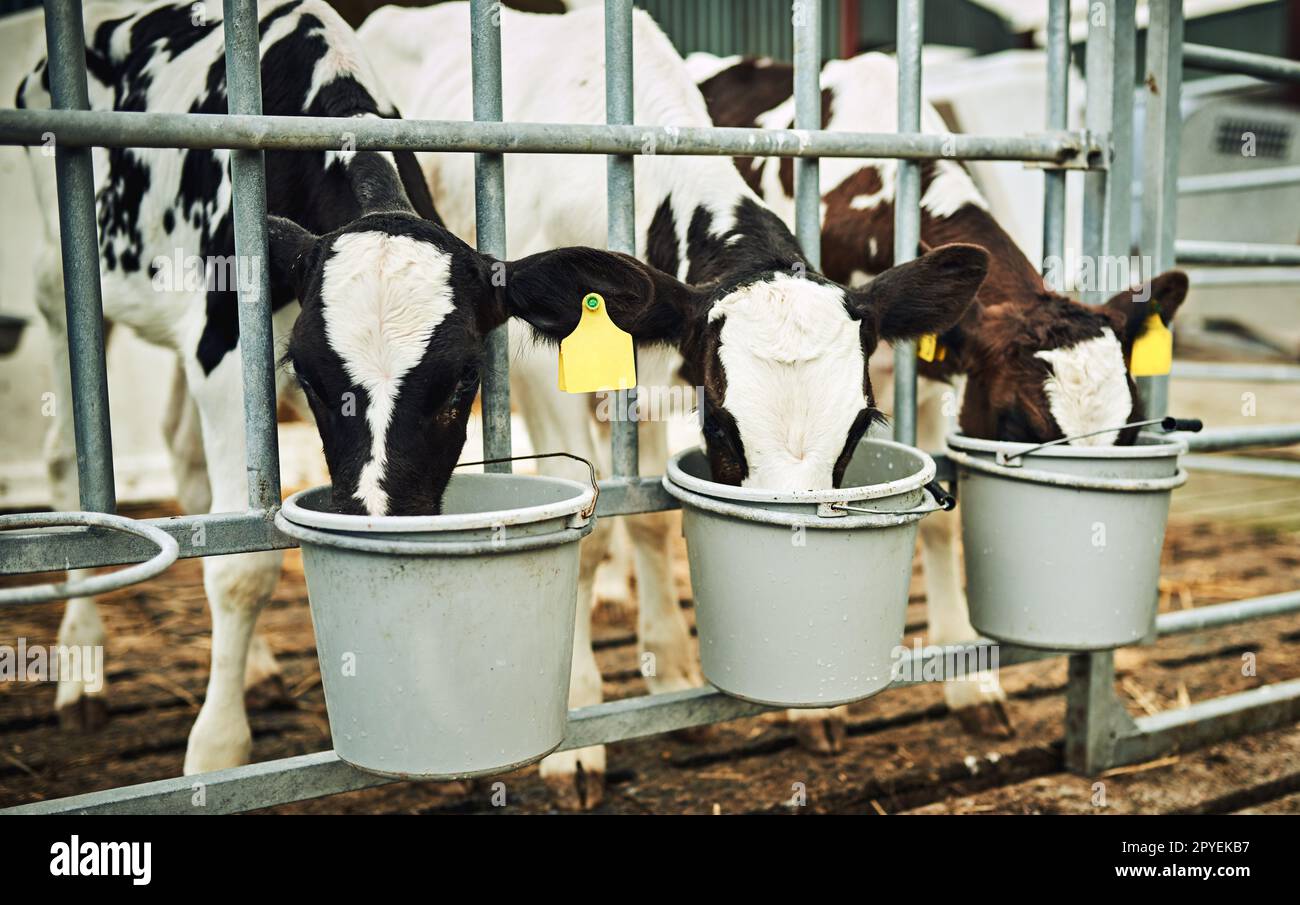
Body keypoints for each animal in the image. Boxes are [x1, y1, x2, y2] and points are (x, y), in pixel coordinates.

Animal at [20, 0, 728, 774]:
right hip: (61, 283)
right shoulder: (224, 358)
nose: (384, 520)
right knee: (65, 458)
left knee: (179, 451)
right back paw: (82, 672)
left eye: (464, 381)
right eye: (306, 375)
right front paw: (216, 750)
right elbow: (242, 571)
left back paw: (256, 669)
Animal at [356, 3, 982, 811]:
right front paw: (576, 739)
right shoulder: (538, 375)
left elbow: (648, 518)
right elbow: (585, 529)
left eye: (857, 429)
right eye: (722, 427)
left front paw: (689, 675)